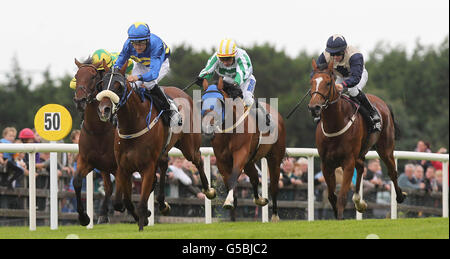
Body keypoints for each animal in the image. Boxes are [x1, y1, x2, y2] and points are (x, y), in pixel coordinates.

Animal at [72, 59, 118, 225]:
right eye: (76, 76)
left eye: (93, 77)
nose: (80, 100)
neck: (98, 130)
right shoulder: (88, 161)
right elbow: (77, 181)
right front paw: (84, 217)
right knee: (108, 186)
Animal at [96, 61, 215, 232]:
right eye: (102, 84)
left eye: (119, 86)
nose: (103, 110)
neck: (133, 124)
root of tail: (183, 92)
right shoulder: (123, 167)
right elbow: (122, 202)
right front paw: (144, 217)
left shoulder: (147, 167)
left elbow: (141, 203)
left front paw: (142, 224)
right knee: (165, 165)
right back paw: (162, 203)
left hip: (189, 146)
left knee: (198, 159)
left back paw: (208, 190)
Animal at [202, 77, 286, 223]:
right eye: (202, 101)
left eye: (219, 101)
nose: (207, 126)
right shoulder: (221, 159)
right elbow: (228, 179)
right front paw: (233, 202)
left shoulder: (240, 154)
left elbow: (234, 175)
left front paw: (229, 201)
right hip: (249, 162)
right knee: (254, 178)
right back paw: (260, 200)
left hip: (274, 158)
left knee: (274, 186)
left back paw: (275, 216)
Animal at [308, 59, 406, 219]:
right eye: (312, 82)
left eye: (328, 83)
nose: (314, 107)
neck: (335, 124)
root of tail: (382, 103)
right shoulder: (326, 164)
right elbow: (331, 196)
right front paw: (336, 214)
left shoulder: (348, 161)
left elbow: (342, 196)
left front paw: (340, 218)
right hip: (361, 152)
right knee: (361, 167)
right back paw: (359, 202)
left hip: (385, 148)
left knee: (392, 171)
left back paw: (400, 196)